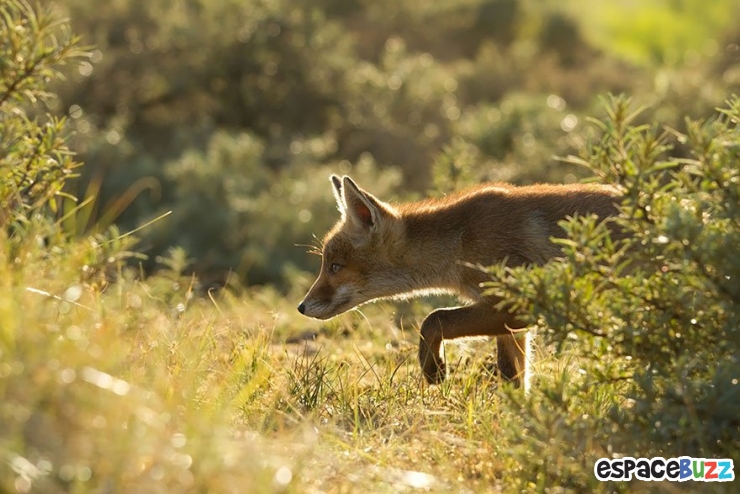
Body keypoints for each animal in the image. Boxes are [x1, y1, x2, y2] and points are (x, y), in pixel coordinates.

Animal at [298, 175, 620, 387]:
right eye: (327, 265)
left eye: (335, 267)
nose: (302, 307)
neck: (461, 243)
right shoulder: (510, 323)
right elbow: (512, 377)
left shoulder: (517, 307)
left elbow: (433, 319)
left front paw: (434, 369)